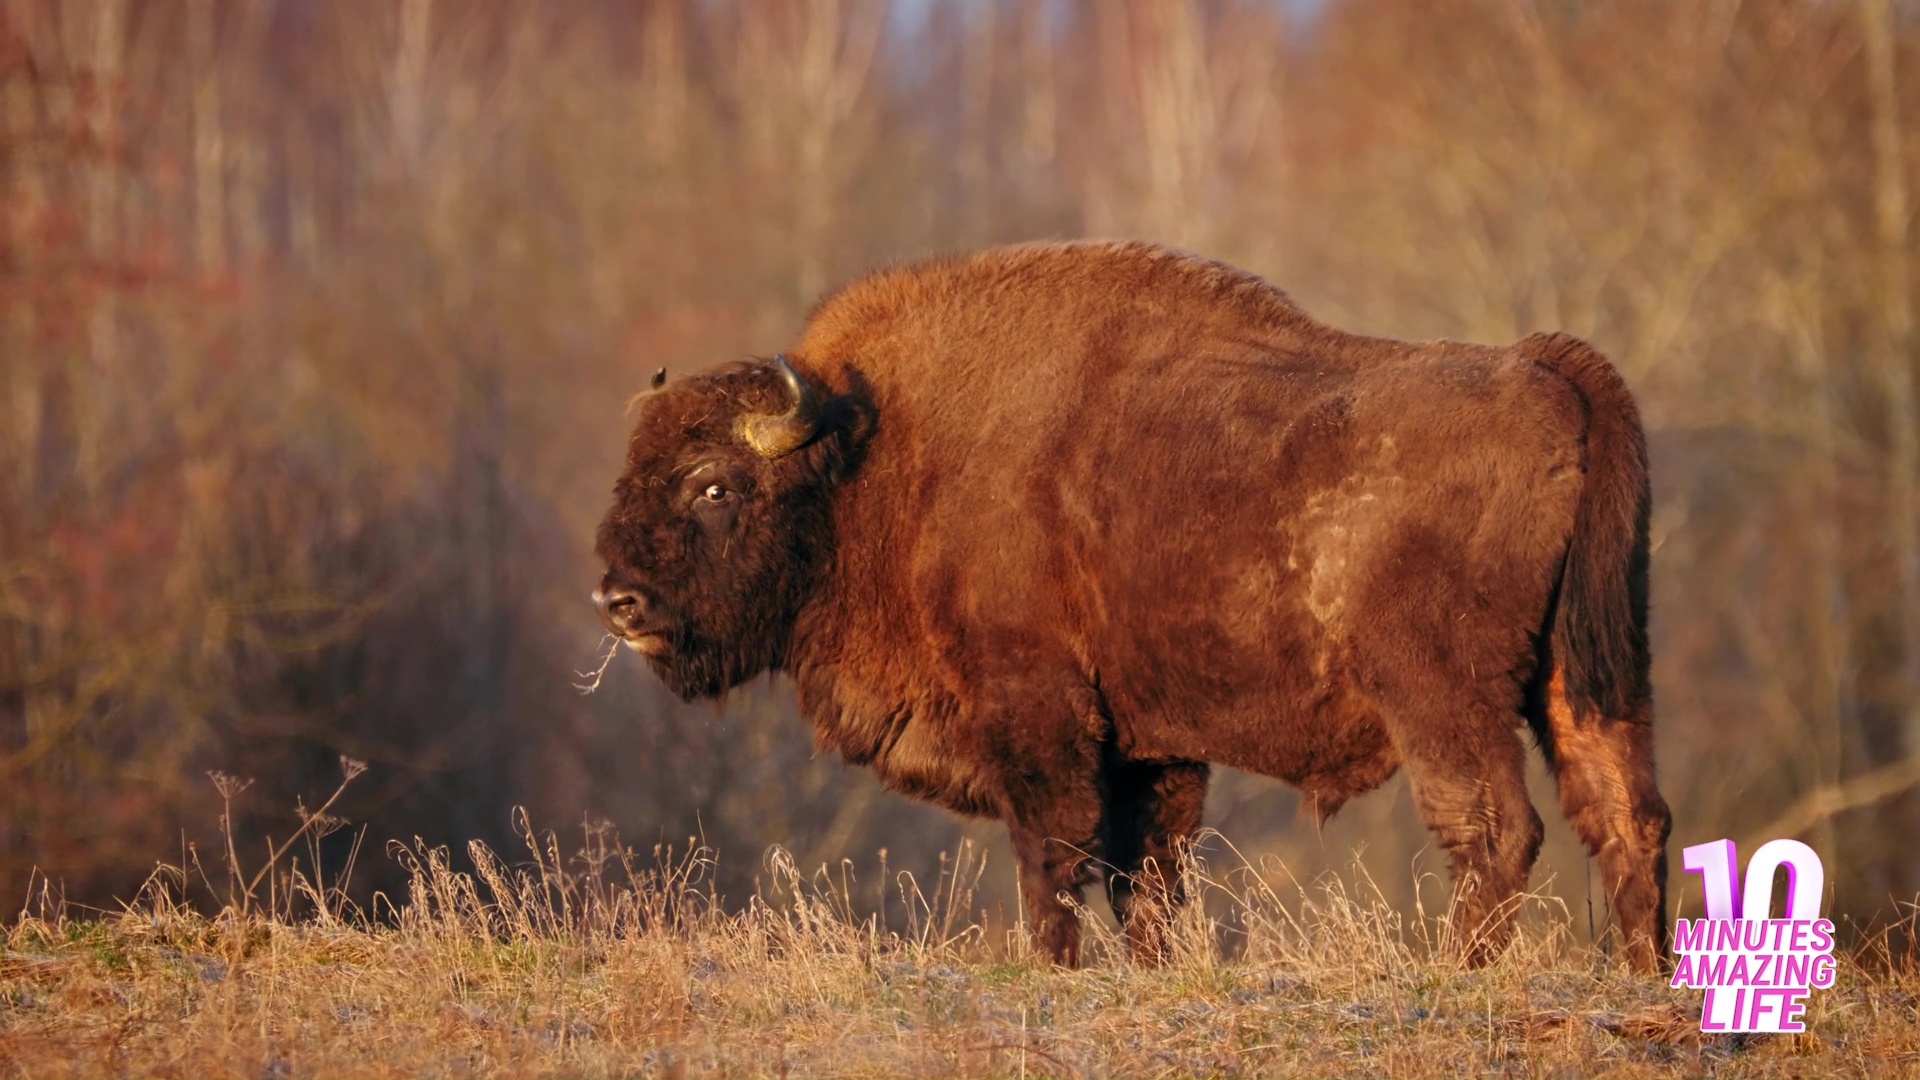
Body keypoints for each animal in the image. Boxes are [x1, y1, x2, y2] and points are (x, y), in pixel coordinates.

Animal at [593, 241, 1672, 971]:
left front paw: (1055, 969)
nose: (616, 598)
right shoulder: (1149, 748)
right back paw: (1644, 979)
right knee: (1627, 814)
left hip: (1446, 698)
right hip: (1586, 677)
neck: (877, 462)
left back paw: (1459, 975)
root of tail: (1541, 370)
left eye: (715, 484)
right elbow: (1143, 874)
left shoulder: (1038, 715)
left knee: (1497, 829)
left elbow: (1054, 855)